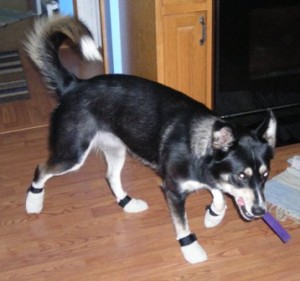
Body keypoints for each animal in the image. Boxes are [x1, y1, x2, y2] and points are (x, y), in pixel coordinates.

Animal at [25, 16, 276, 264]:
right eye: (241, 175)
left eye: (265, 176)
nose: (260, 212)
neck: (199, 147)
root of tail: (75, 84)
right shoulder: (173, 190)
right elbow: (183, 223)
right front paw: (191, 248)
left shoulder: (206, 177)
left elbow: (219, 196)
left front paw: (213, 216)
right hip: (72, 154)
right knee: (41, 169)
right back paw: (33, 202)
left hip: (116, 149)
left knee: (110, 176)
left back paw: (127, 203)